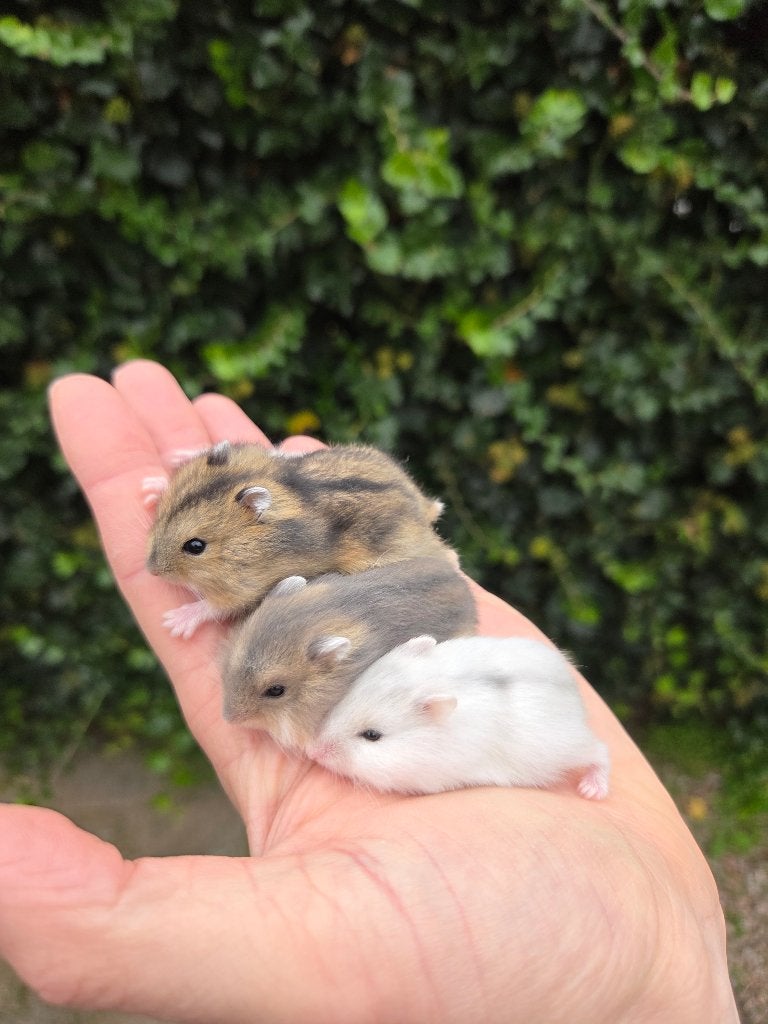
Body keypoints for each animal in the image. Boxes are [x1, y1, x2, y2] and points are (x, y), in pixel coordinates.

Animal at [145, 441, 454, 638]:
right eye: (162, 514)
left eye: (195, 547)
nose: (151, 570)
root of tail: (422, 504)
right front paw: (151, 487)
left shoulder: (244, 587)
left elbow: (214, 605)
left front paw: (172, 623)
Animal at [307, 635, 610, 800]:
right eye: (347, 696)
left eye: (372, 736)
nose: (312, 752)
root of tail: (575, 696)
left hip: (563, 749)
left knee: (601, 751)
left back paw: (591, 790)